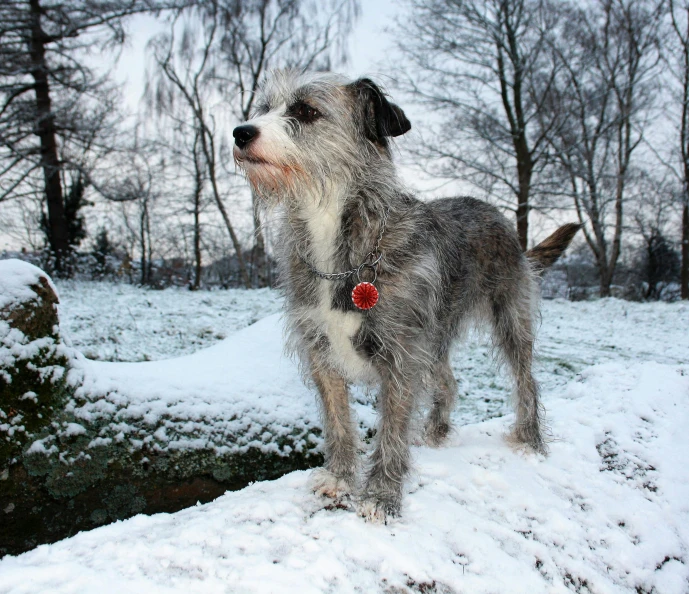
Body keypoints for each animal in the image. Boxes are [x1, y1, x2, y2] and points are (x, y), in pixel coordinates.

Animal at [232, 70, 580, 524]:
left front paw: (381, 496)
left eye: (306, 111)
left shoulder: (399, 356)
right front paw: (340, 478)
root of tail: (503, 222)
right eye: (264, 108)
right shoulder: (322, 352)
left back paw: (531, 442)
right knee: (448, 381)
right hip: (433, 339)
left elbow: (391, 431)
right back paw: (436, 432)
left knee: (527, 381)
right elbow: (338, 421)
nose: (240, 132)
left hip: (509, 322)